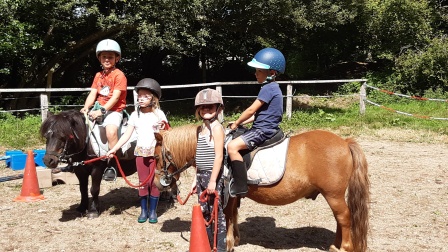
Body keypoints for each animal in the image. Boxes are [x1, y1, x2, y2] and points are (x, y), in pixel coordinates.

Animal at [156, 125, 370, 251]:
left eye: (157, 156)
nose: (159, 183)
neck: (215, 150)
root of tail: (345, 142)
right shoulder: (234, 195)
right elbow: (234, 214)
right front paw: (236, 239)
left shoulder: (226, 193)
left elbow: (227, 215)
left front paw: (228, 242)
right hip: (334, 195)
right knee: (340, 219)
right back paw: (335, 245)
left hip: (333, 195)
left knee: (344, 217)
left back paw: (344, 247)